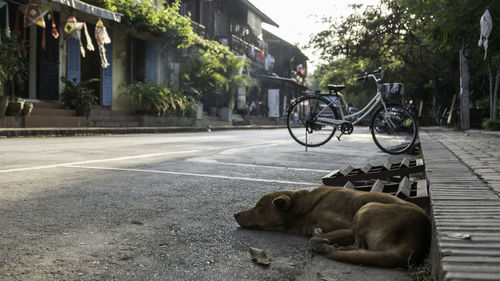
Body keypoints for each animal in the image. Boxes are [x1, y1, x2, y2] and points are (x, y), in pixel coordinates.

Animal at [234, 186, 430, 266]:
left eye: (260, 207)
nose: (235, 214)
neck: (306, 208)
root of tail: (416, 242)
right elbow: (316, 233)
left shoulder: (348, 228)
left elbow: (315, 239)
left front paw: (323, 243)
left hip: (367, 208)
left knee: (360, 247)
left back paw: (336, 248)